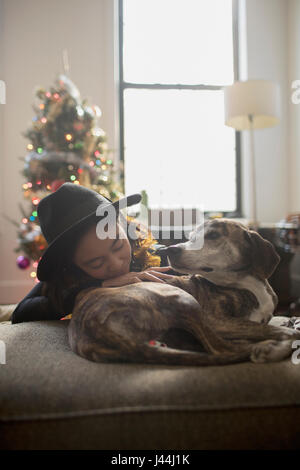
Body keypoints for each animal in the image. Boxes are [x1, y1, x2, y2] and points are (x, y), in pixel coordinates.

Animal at [67, 218, 300, 366]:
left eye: (213, 235)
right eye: (190, 236)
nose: (169, 249)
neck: (244, 283)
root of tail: (88, 332)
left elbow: (277, 324)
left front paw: (290, 321)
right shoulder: (217, 321)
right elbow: (277, 329)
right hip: (185, 301)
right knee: (222, 348)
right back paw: (269, 348)